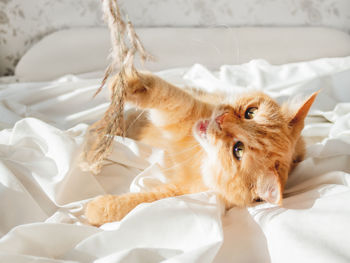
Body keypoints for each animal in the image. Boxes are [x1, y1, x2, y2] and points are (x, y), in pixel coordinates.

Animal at [85, 72, 318, 227]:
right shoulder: (185, 108)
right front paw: (129, 84)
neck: (200, 157)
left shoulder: (180, 192)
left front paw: (98, 209)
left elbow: (139, 202)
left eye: (238, 150)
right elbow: (162, 92)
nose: (222, 118)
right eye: (250, 113)